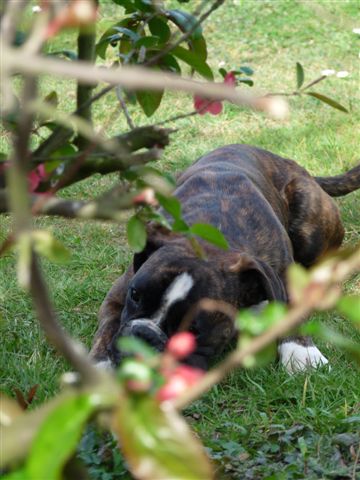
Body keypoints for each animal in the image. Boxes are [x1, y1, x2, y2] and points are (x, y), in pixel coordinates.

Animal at [90, 144, 360, 374]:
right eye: (135, 295)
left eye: (194, 330)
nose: (144, 336)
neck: (212, 236)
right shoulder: (117, 295)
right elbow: (107, 328)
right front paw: (100, 366)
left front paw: (301, 352)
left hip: (310, 219)